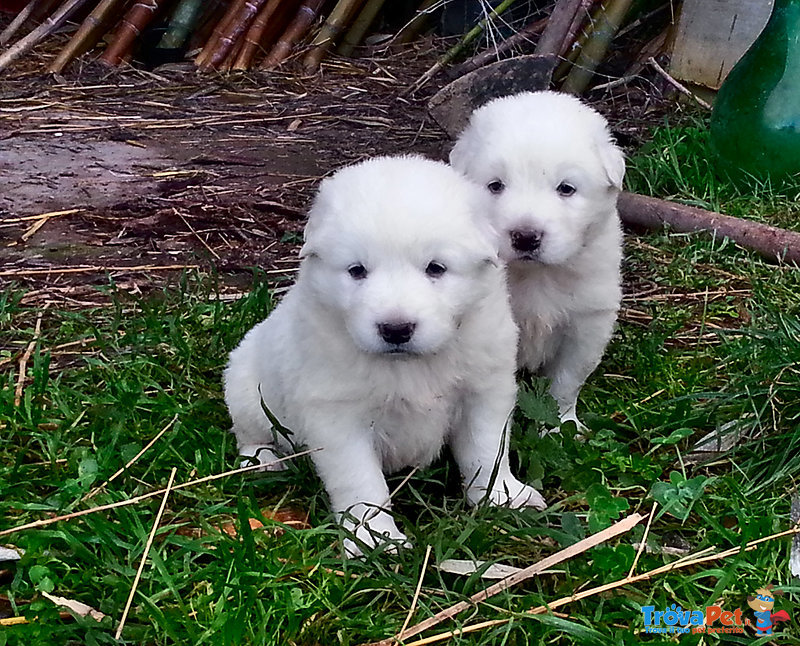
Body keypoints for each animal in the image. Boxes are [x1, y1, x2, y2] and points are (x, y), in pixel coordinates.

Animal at [225, 156, 552, 556]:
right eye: (357, 271)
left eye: (435, 268)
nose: (396, 329)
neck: (409, 363)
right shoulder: (338, 418)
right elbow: (361, 482)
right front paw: (374, 540)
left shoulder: (485, 391)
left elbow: (487, 450)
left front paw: (503, 498)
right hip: (244, 385)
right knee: (249, 433)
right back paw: (264, 461)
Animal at [450, 90, 624, 426]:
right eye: (495, 185)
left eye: (566, 188)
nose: (526, 237)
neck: (535, 274)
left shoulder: (587, 323)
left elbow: (567, 382)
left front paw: (563, 425)